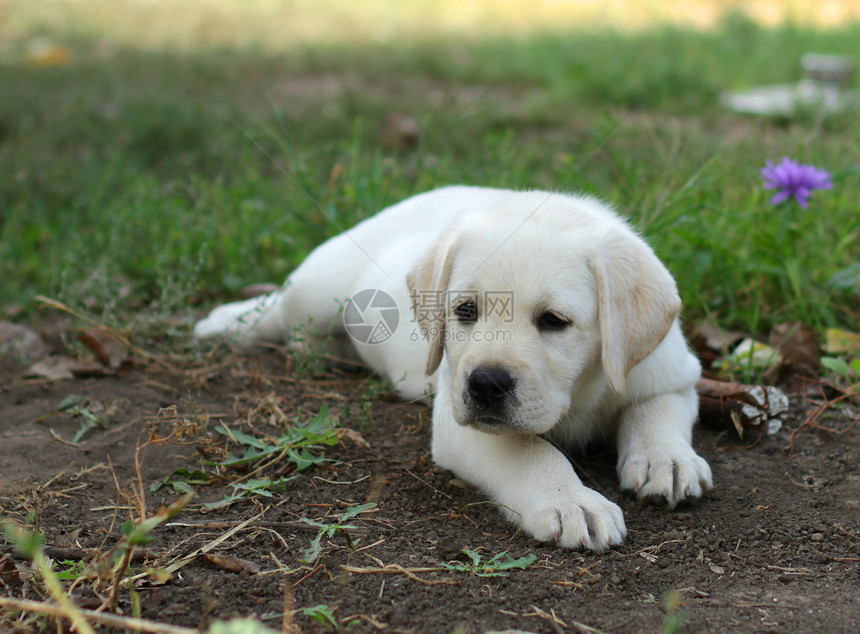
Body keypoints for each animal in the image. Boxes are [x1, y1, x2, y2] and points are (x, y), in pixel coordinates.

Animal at [195, 184, 712, 548]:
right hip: (316, 293)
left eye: (554, 321)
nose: (486, 384)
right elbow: (528, 450)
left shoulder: (673, 374)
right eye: (465, 310)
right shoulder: (456, 421)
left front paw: (665, 460)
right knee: (281, 309)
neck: (580, 393)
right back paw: (229, 322)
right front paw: (571, 500)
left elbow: (656, 412)